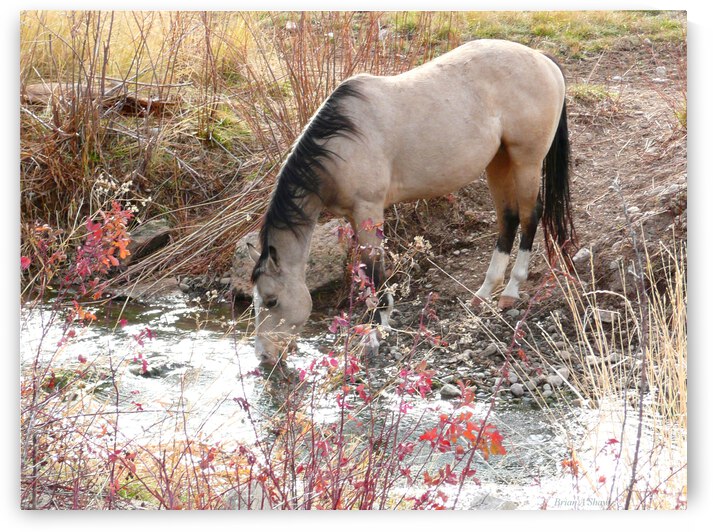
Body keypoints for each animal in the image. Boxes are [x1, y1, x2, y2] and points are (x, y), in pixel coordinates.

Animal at [247, 39, 576, 366]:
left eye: (272, 300)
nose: (264, 355)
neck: (342, 142)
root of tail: (541, 59)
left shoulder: (368, 210)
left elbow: (374, 271)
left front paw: (375, 332)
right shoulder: (353, 216)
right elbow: (366, 271)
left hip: (526, 162)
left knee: (530, 216)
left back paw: (511, 290)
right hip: (499, 161)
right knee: (508, 218)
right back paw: (483, 293)